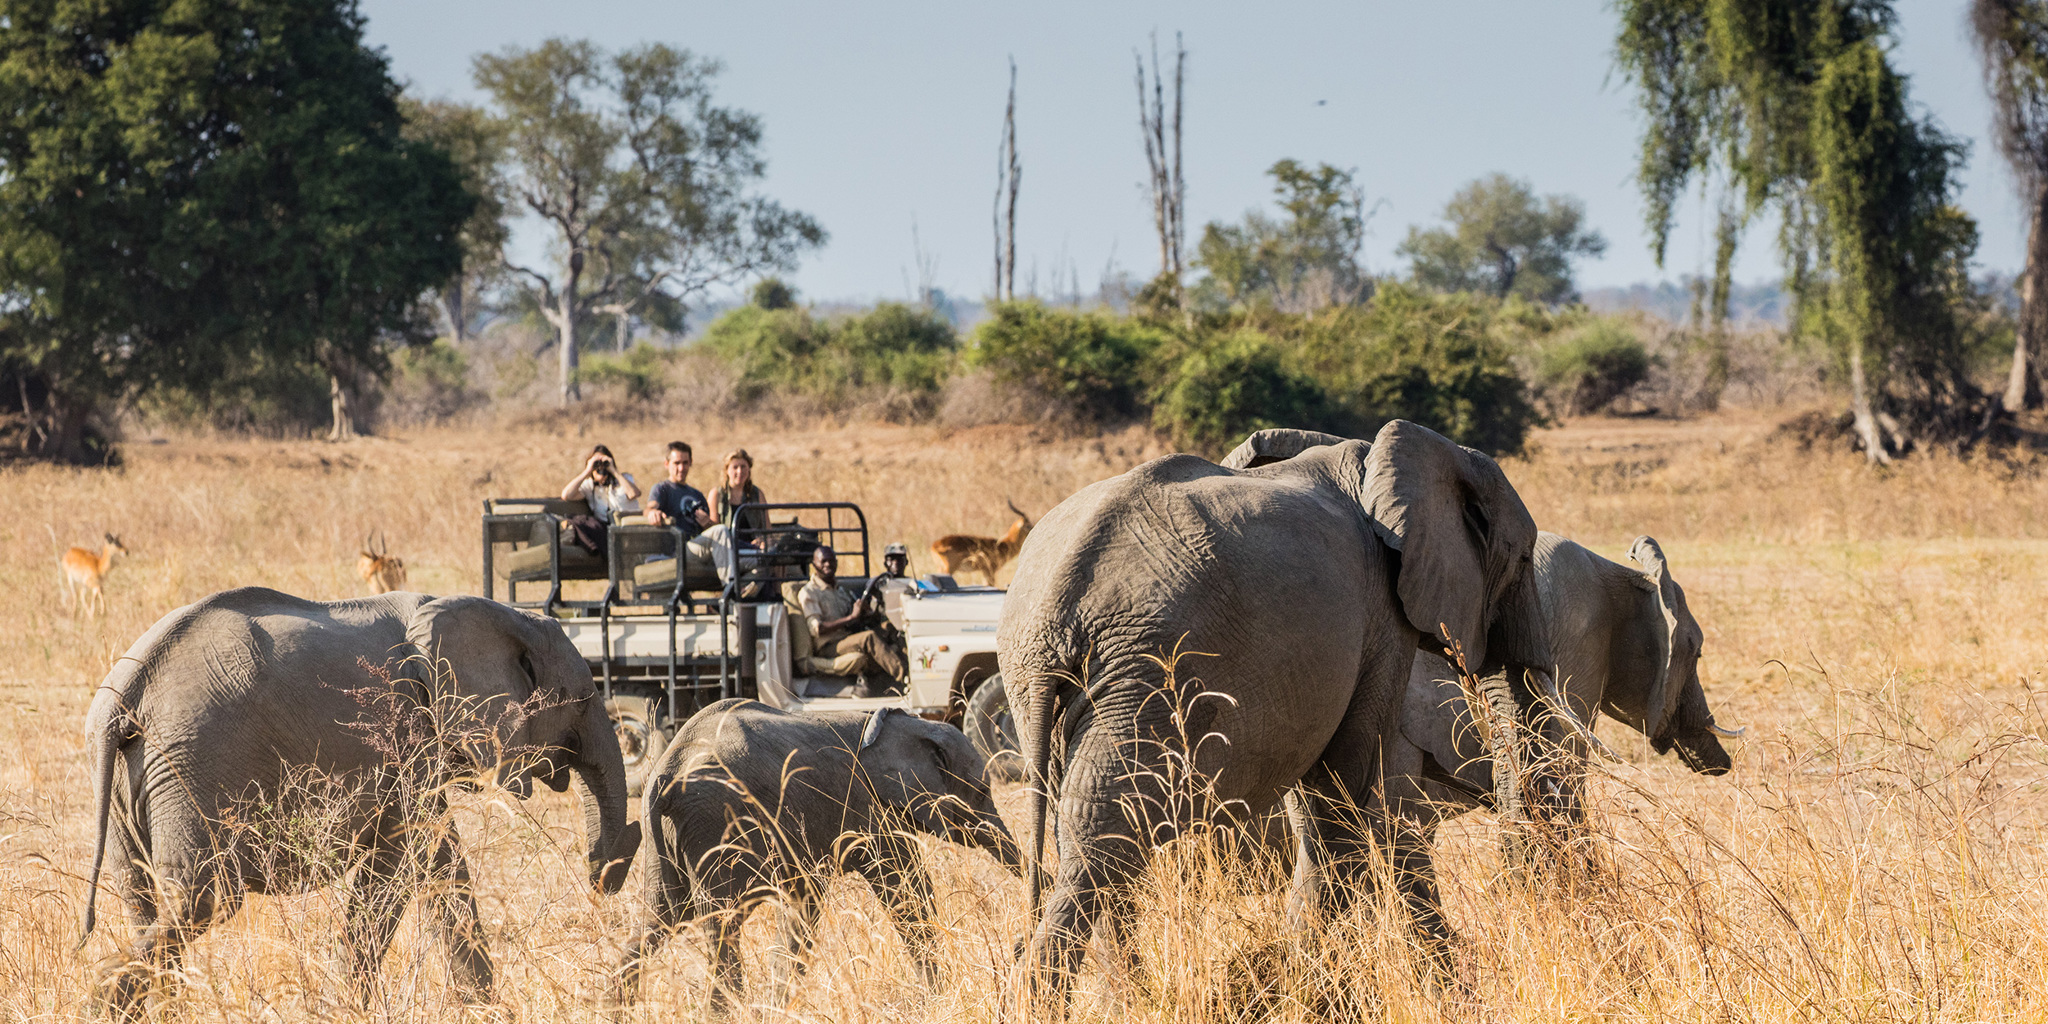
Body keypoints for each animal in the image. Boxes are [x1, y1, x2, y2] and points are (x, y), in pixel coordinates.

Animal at [80, 587, 640, 1018]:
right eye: (585, 699)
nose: (602, 877)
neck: (504, 613)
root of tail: (124, 694)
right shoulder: (408, 738)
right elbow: (405, 863)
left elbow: (437, 865)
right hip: (194, 764)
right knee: (202, 899)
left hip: (138, 778)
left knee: (144, 898)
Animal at [612, 699, 1026, 1015]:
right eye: (982, 791)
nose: (1021, 942)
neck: (900, 724)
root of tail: (666, 773)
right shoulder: (865, 803)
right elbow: (905, 889)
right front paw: (937, 995)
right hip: (716, 824)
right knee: (721, 926)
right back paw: (729, 1012)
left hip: (669, 841)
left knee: (660, 920)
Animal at [1000, 420, 1569, 1006]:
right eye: (1524, 560)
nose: (1524, 870)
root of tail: (1059, 604)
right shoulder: (1382, 619)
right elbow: (1340, 789)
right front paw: (1311, 982)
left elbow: (1314, 794)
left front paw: (1297, 973)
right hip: (1149, 676)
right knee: (1102, 840)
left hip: (1056, 682)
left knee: (1088, 834)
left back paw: (1121, 999)